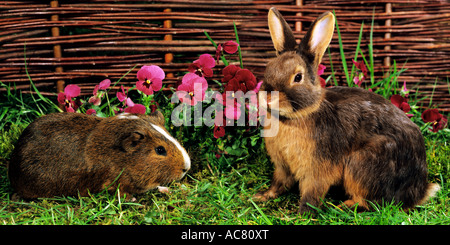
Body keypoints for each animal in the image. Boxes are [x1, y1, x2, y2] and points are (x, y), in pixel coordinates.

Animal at [255, 7, 442, 214]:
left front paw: (302, 214)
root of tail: (419, 191)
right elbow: (278, 183)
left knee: (370, 202)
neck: (294, 117)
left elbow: (312, 193)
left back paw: (341, 206)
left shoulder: (317, 170)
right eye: (269, 68)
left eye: (297, 77)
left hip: (361, 166)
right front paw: (261, 196)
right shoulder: (282, 166)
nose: (268, 96)